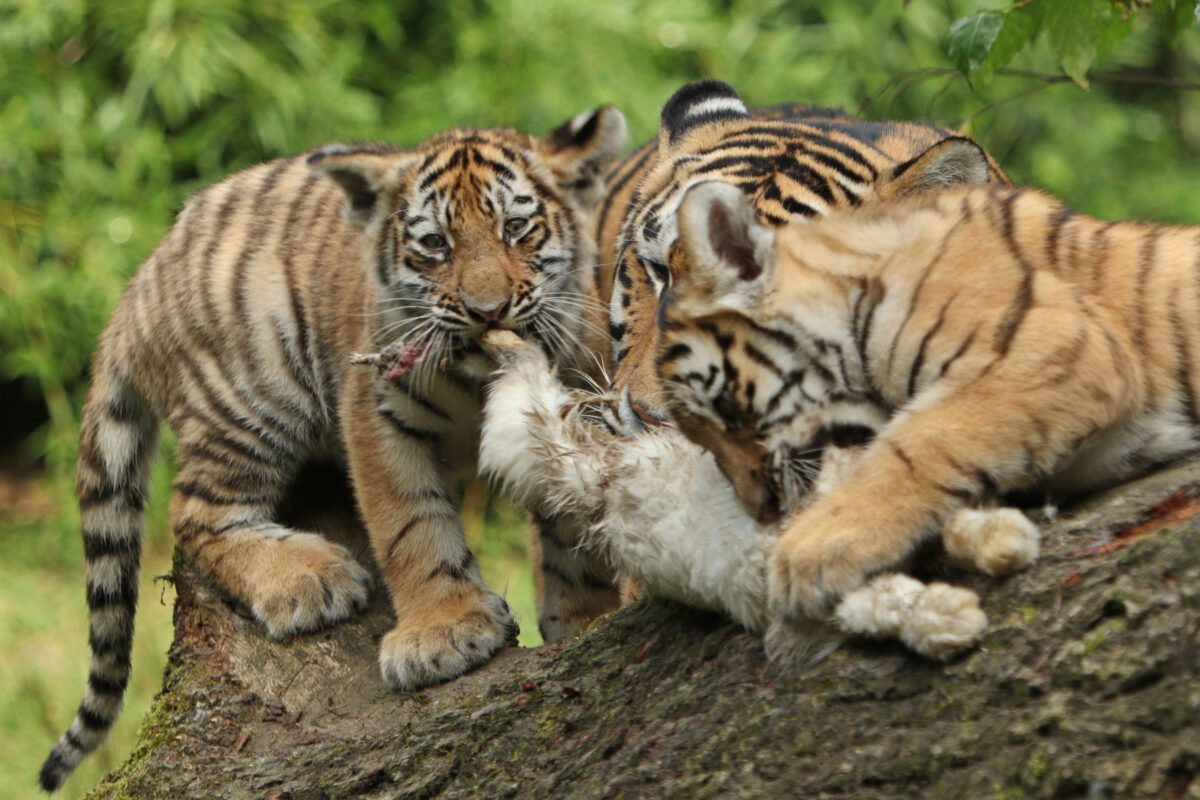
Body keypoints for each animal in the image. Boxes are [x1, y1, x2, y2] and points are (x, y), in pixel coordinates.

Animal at [37, 107, 628, 796]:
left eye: (516, 228)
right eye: (435, 245)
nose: (488, 311)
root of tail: (141, 280)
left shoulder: (574, 400)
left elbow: (576, 538)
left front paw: (584, 621)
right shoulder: (374, 413)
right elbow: (411, 526)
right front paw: (443, 630)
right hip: (257, 390)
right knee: (193, 511)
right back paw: (308, 578)